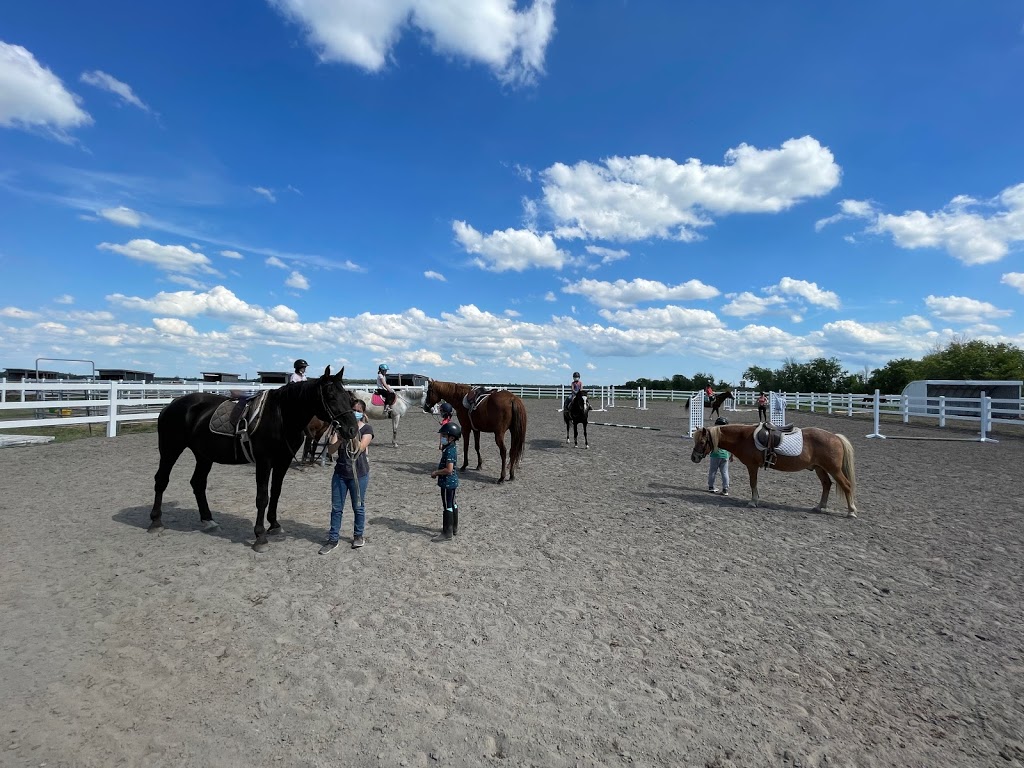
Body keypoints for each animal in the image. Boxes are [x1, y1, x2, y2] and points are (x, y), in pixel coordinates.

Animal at [148, 368, 360, 552]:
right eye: (331, 397)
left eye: (347, 397)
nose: (352, 430)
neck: (281, 417)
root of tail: (170, 406)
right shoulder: (264, 462)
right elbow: (262, 497)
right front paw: (260, 537)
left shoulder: (282, 462)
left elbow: (276, 493)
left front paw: (274, 524)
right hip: (170, 450)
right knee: (161, 480)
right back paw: (156, 521)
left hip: (203, 456)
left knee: (198, 483)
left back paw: (209, 520)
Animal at [688, 423, 856, 520]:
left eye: (702, 441)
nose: (694, 457)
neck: (743, 437)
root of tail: (835, 437)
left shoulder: (752, 466)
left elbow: (753, 483)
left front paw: (753, 501)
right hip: (820, 468)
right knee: (826, 484)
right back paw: (820, 507)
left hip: (833, 469)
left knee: (846, 486)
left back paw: (851, 512)